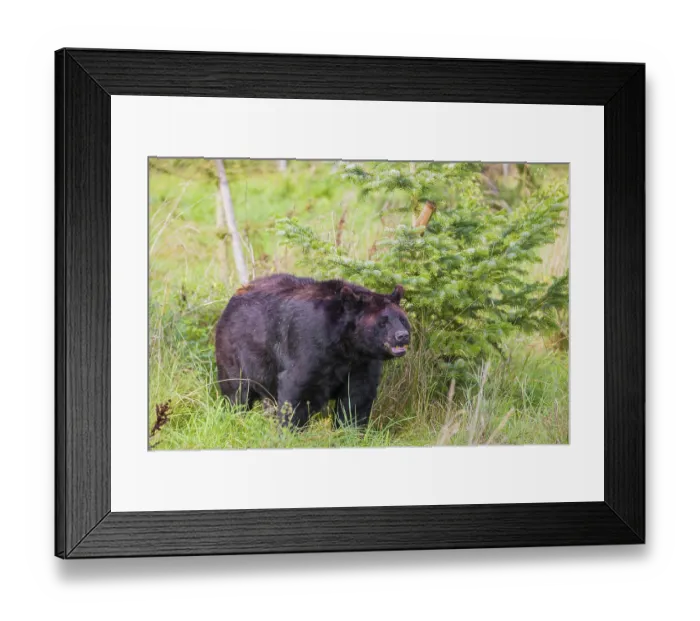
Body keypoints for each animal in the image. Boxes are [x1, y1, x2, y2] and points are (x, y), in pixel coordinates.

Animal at [215, 274, 411, 428]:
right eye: (383, 322)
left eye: (402, 319)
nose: (402, 336)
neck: (346, 346)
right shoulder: (309, 347)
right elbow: (297, 392)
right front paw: (290, 431)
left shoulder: (361, 364)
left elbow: (356, 399)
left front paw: (350, 430)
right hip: (237, 353)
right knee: (237, 392)